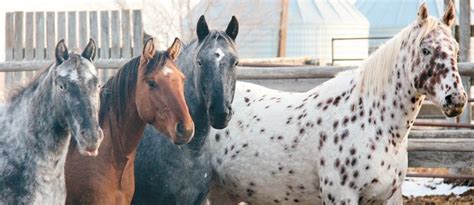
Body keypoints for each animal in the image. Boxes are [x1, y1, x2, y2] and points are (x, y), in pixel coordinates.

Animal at [209, 2, 464, 204]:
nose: (457, 99)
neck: (373, 122)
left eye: (456, 49)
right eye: (425, 49)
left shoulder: (388, 197)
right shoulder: (341, 197)